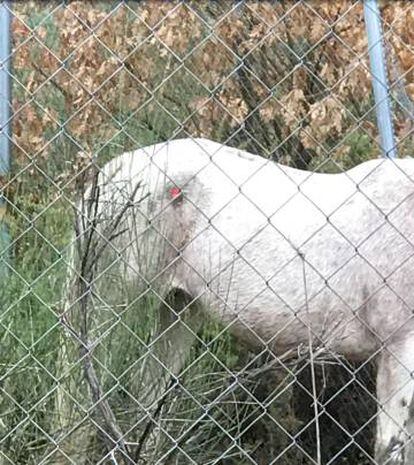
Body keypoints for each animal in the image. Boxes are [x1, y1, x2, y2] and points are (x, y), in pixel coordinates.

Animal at [72, 139, 414, 464]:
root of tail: (113, 171)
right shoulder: (398, 352)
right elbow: (392, 449)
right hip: (112, 301)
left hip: (178, 310)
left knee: (148, 397)